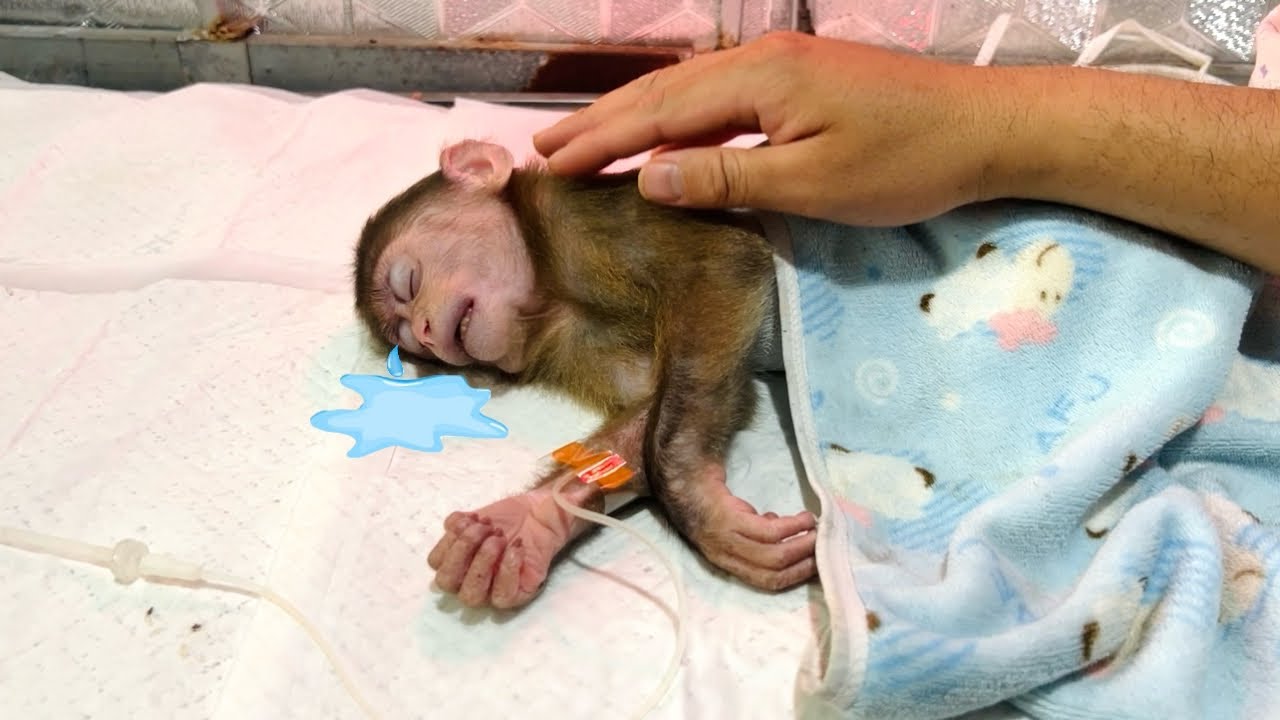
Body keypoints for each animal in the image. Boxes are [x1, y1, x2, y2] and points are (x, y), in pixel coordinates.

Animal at [353, 139, 818, 609]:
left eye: (408, 282)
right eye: (408, 339)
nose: (426, 335)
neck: (551, 293)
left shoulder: (585, 217)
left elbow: (721, 262)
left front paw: (690, 488)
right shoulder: (574, 343)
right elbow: (648, 408)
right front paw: (526, 522)